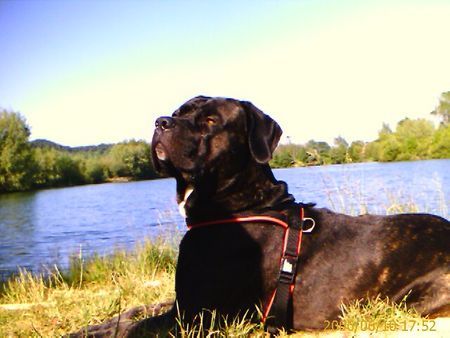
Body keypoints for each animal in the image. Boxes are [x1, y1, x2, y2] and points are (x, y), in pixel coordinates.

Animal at [68, 94, 448, 336]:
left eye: (210, 120)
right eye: (178, 111)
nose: (162, 122)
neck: (240, 204)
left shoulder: (199, 316)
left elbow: (137, 326)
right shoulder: (183, 301)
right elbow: (136, 311)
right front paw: (90, 325)